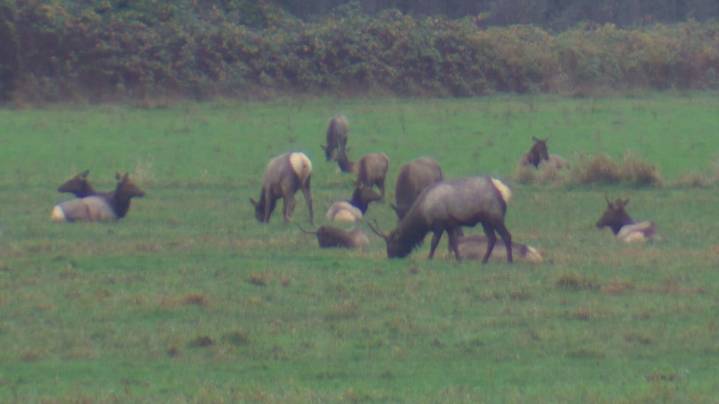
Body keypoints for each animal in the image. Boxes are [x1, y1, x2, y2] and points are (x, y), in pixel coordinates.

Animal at [369, 176, 513, 263]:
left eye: (392, 243)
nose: (390, 257)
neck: (423, 215)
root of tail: (504, 191)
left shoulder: (439, 223)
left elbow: (434, 242)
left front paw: (429, 258)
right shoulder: (449, 225)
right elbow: (454, 242)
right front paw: (459, 260)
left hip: (495, 217)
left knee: (506, 236)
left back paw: (509, 261)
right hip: (485, 221)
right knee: (492, 238)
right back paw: (484, 261)